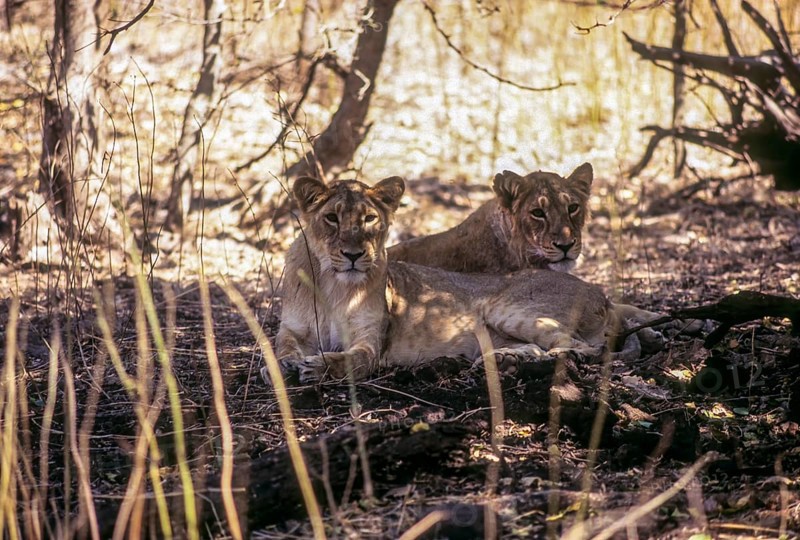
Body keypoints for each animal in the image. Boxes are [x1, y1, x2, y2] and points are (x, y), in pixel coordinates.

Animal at [273, 176, 633, 384]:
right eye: (331, 218)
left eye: (370, 218)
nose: (353, 254)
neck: (333, 284)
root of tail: (602, 296)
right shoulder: (293, 329)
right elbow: (280, 349)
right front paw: (283, 366)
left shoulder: (370, 340)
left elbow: (355, 359)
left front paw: (317, 367)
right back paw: (505, 359)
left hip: (508, 309)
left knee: (582, 348)